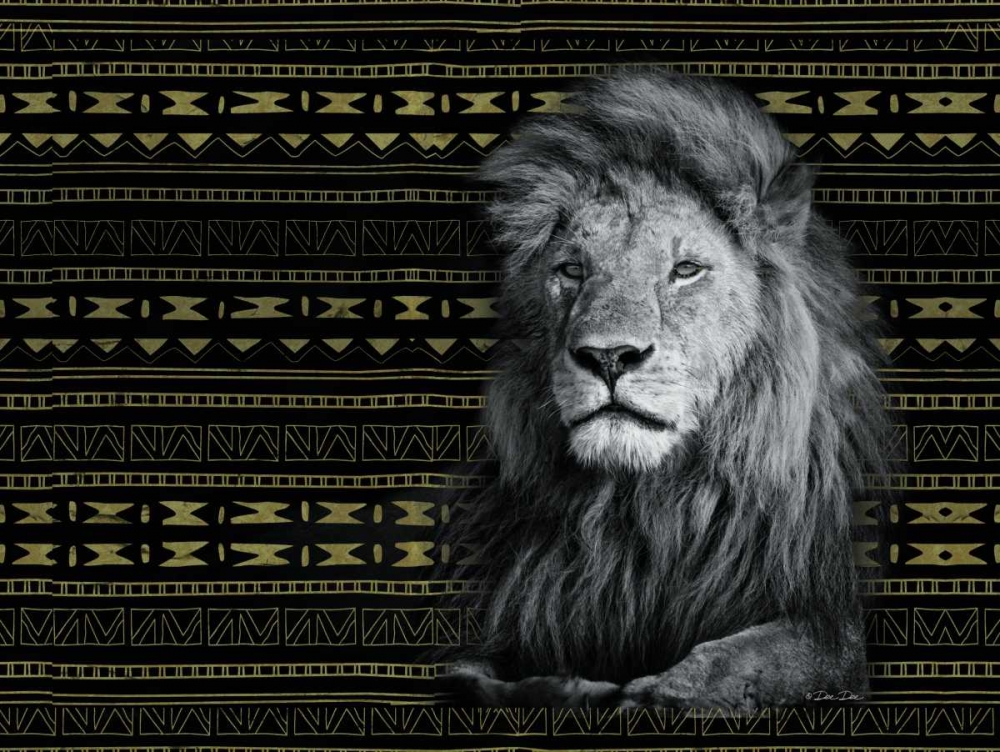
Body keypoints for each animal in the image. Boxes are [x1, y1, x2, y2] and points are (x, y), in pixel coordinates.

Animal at [433, 69, 892, 709]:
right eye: (572, 270)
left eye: (685, 270)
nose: (607, 356)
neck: (647, 510)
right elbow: (466, 671)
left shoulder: (831, 627)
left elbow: (742, 659)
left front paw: (650, 692)